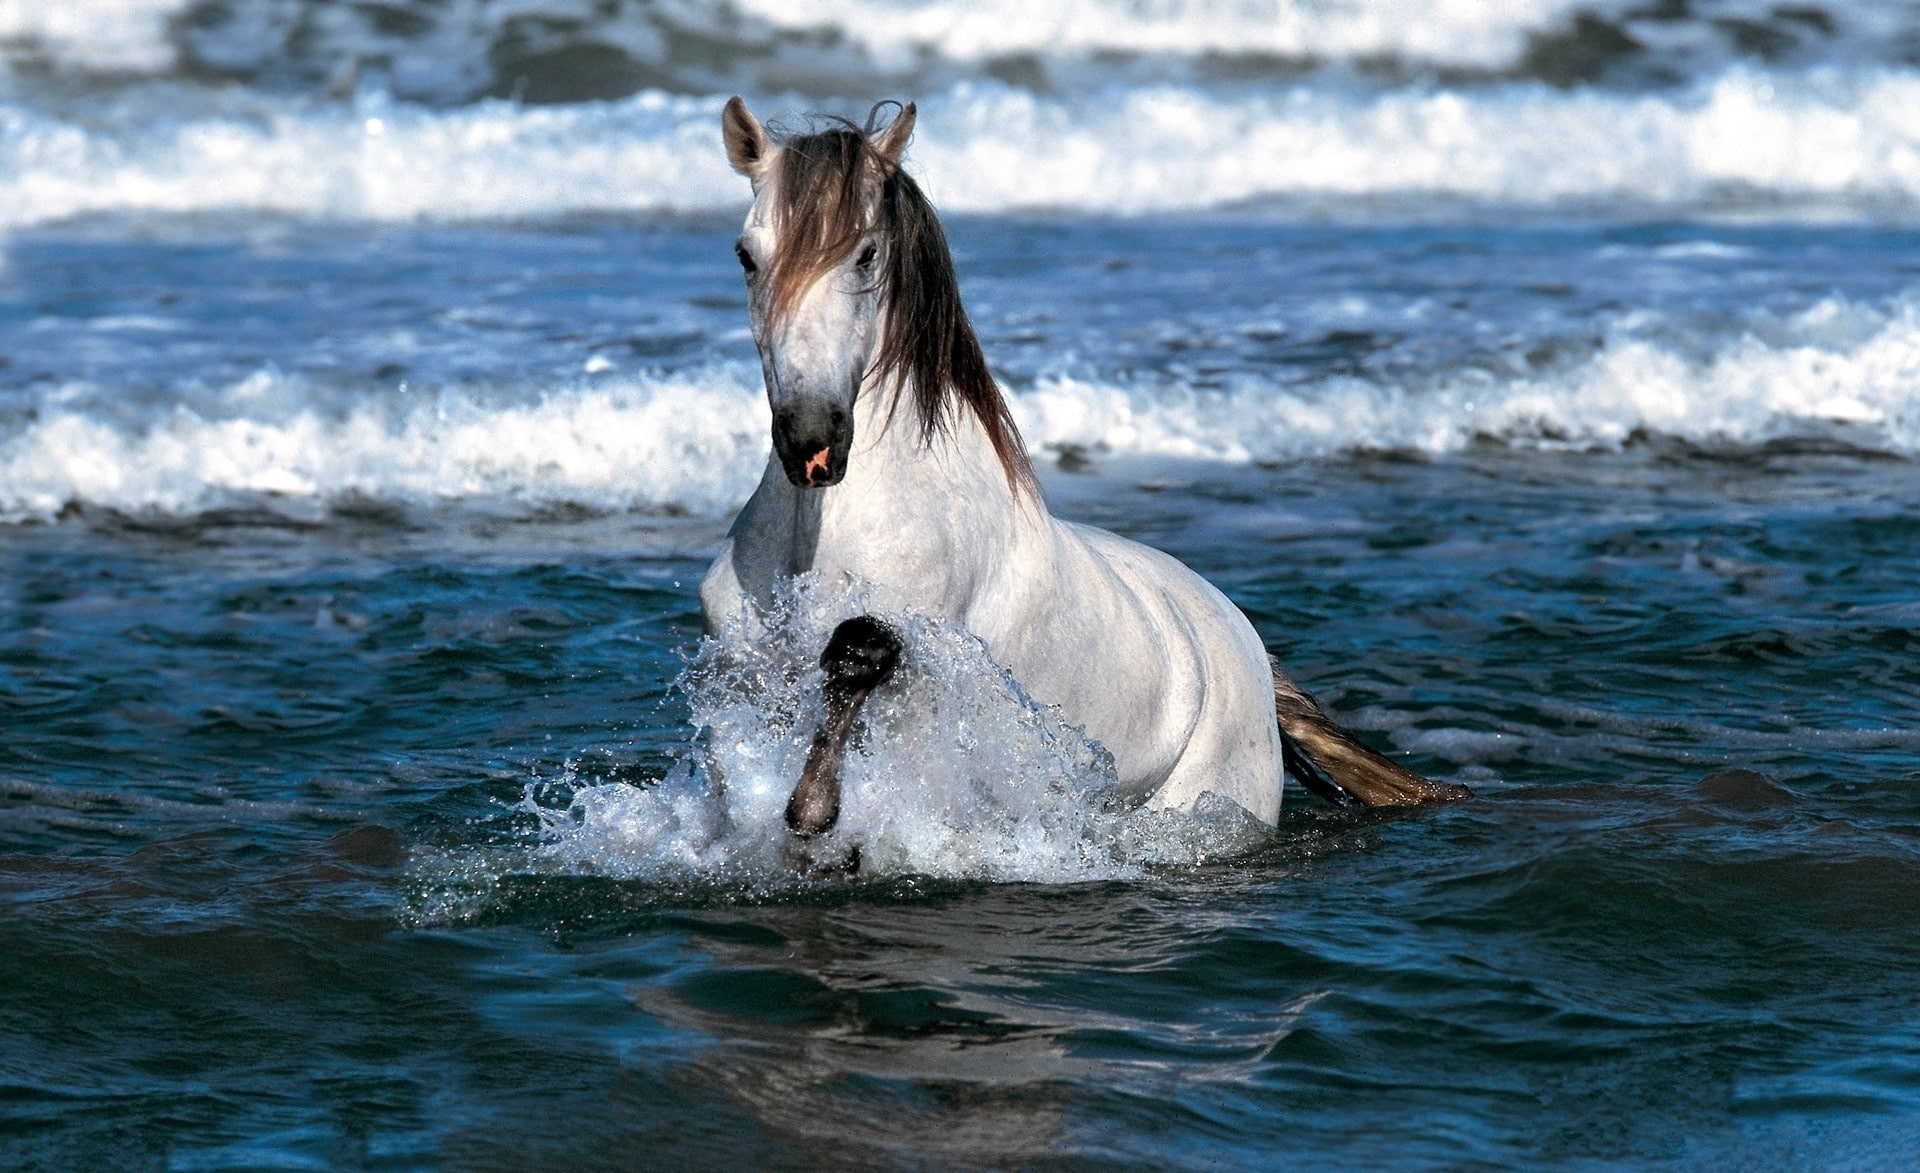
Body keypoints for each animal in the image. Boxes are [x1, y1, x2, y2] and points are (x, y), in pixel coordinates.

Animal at [699, 98, 1468, 842]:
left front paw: (814, 810)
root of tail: (1248, 646)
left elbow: (859, 653)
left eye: (866, 255)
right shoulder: (743, 670)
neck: (820, 534)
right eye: (745, 255)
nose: (812, 440)